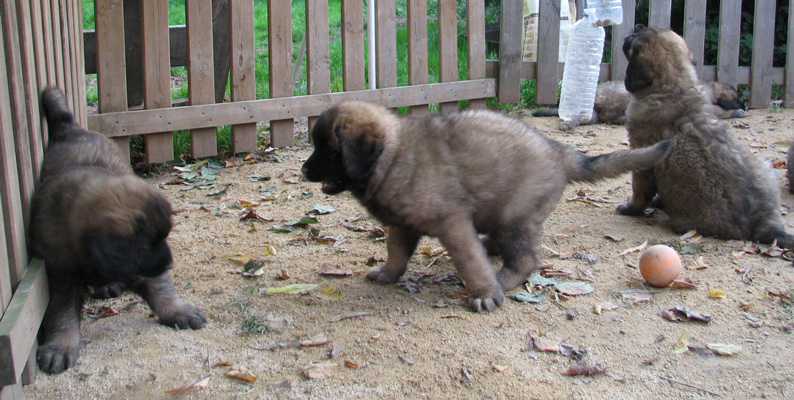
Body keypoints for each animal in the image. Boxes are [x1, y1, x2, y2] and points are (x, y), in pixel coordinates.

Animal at [30, 87, 207, 376]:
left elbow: (161, 289)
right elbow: (61, 313)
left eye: (164, 237)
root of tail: (72, 127)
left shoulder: (145, 269)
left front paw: (178, 311)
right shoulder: (60, 273)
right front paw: (60, 346)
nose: (170, 264)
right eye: (146, 244)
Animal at [300, 101, 672, 312]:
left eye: (329, 151)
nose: (303, 170)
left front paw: (484, 293)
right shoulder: (403, 225)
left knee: (526, 260)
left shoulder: (452, 223)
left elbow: (470, 262)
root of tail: (560, 152)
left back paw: (502, 278)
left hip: (515, 217)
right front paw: (388, 274)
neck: (392, 157)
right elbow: (396, 252)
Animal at [620, 28, 792, 247]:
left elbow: (640, 190)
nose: (631, 31)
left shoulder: (642, 156)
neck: (673, 87)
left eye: (637, 36)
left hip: (686, 221)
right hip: (766, 166)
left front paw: (630, 209)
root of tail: (766, 224)